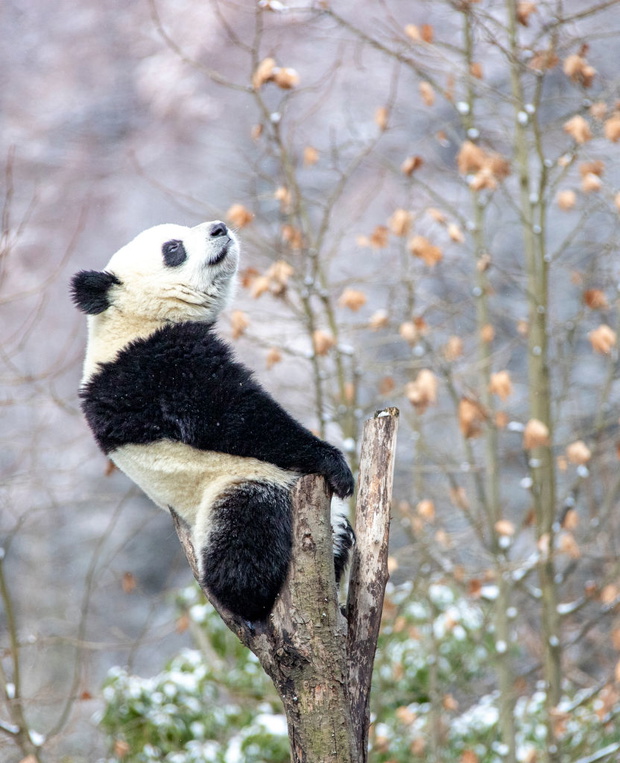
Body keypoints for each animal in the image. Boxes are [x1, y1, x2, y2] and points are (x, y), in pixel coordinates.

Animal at [71, 220, 355, 622]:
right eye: (173, 248)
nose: (219, 228)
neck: (131, 320)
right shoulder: (160, 366)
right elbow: (231, 417)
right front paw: (333, 463)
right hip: (237, 483)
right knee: (245, 535)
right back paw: (249, 601)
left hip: (321, 514)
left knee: (339, 535)